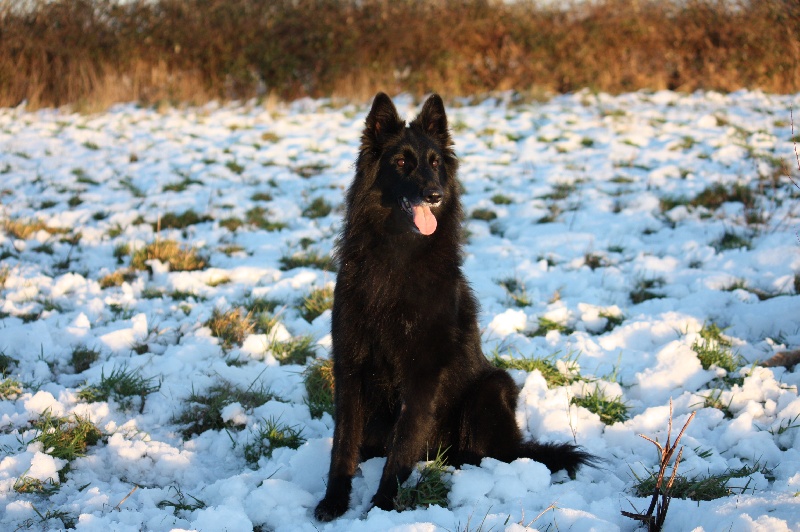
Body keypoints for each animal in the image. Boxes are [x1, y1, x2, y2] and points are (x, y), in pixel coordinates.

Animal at [312, 92, 592, 520]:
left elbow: (404, 442)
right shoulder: (350, 363)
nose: (435, 195)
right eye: (401, 163)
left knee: (484, 454)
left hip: (492, 388)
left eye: (434, 163)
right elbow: (343, 442)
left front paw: (383, 504)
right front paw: (334, 500)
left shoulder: (423, 372)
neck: (397, 254)